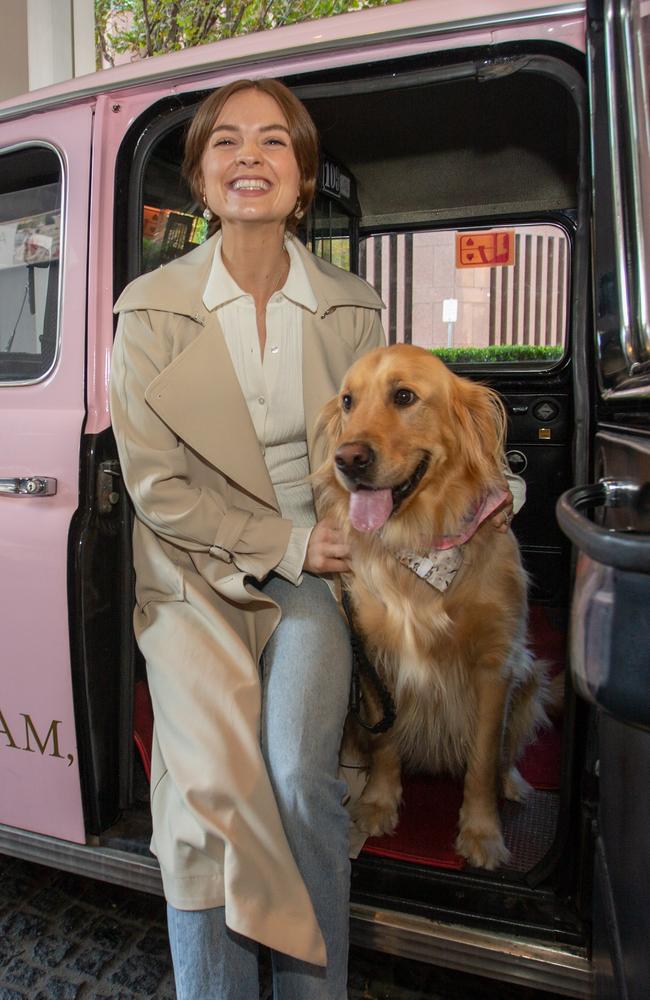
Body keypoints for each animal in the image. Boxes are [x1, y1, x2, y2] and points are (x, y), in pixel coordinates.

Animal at [314, 344, 548, 868]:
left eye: (404, 396)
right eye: (347, 400)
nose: (347, 459)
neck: (420, 542)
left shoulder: (495, 665)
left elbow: (483, 758)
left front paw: (482, 833)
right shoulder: (376, 659)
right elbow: (385, 743)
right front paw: (378, 805)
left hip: (528, 675)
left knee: (508, 749)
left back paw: (513, 783)